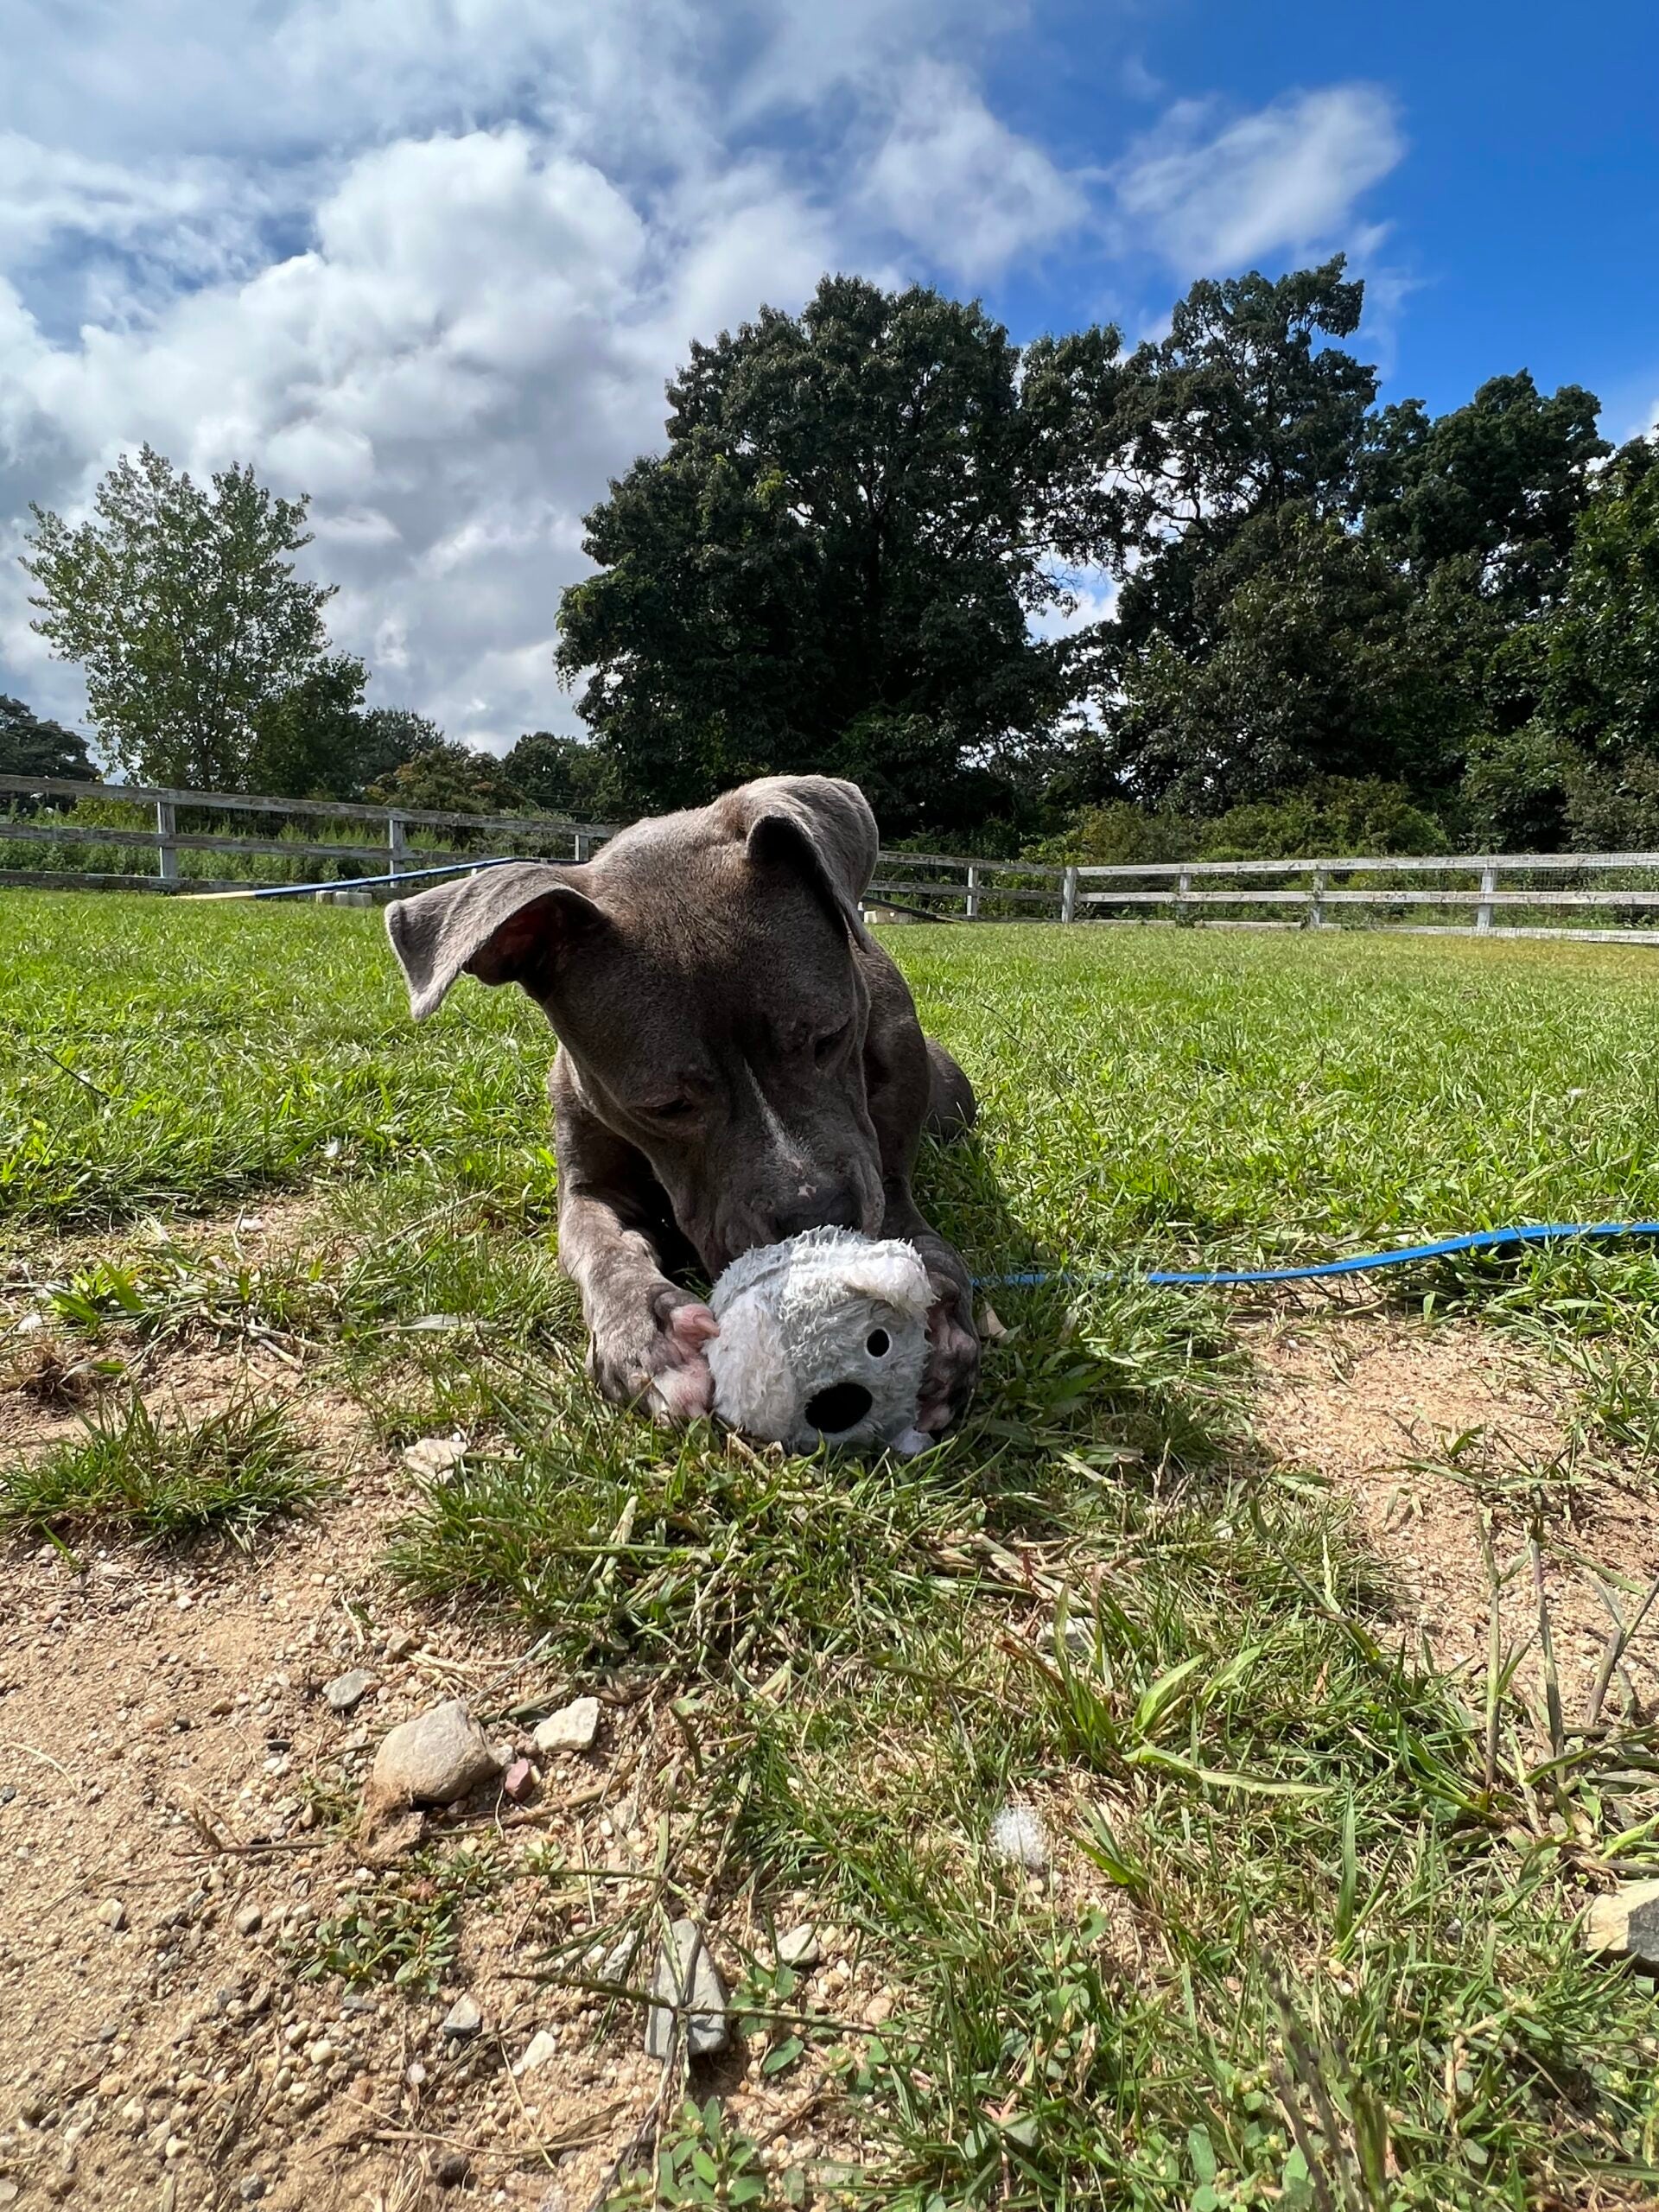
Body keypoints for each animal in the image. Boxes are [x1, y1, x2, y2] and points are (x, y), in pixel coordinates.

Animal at [387, 774, 986, 1433]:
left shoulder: (884, 1176)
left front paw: (939, 1321)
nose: (816, 1213)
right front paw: (651, 1335)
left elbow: (912, 1228)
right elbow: (604, 1250)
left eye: (831, 1036)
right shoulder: (589, 1190)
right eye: (666, 1105)